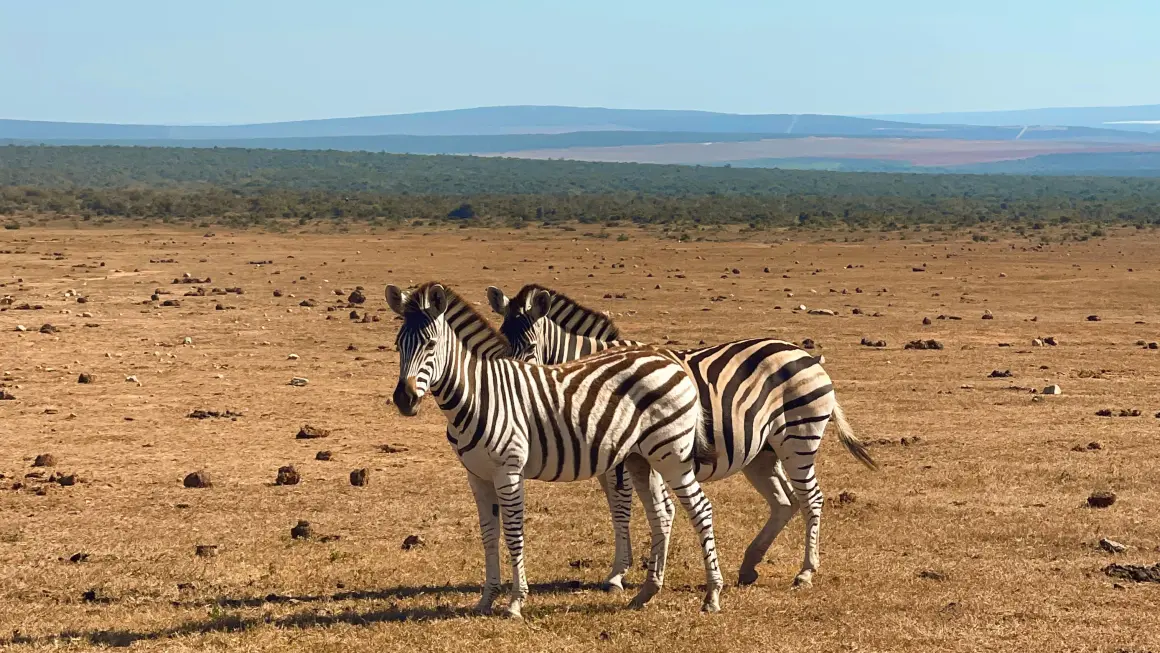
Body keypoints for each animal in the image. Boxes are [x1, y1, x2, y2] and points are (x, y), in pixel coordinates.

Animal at [386, 281, 725, 617]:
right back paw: (647, 592)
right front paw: (486, 599)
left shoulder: (509, 471)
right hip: (642, 458)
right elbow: (488, 535)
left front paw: (515, 601)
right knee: (660, 513)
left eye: (430, 344)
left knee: (701, 509)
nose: (404, 400)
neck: (480, 393)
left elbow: (513, 532)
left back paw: (711, 595)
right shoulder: (477, 475)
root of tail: (669, 360)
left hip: (673, 455)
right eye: (398, 344)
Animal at [487, 283, 877, 589]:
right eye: (503, 343)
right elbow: (623, 509)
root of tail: (806, 354)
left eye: (532, 347)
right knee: (786, 501)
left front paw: (618, 575)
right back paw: (750, 565)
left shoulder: (623, 459)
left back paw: (805, 572)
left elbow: (626, 509)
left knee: (812, 499)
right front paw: (636, 569)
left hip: (798, 439)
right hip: (762, 453)